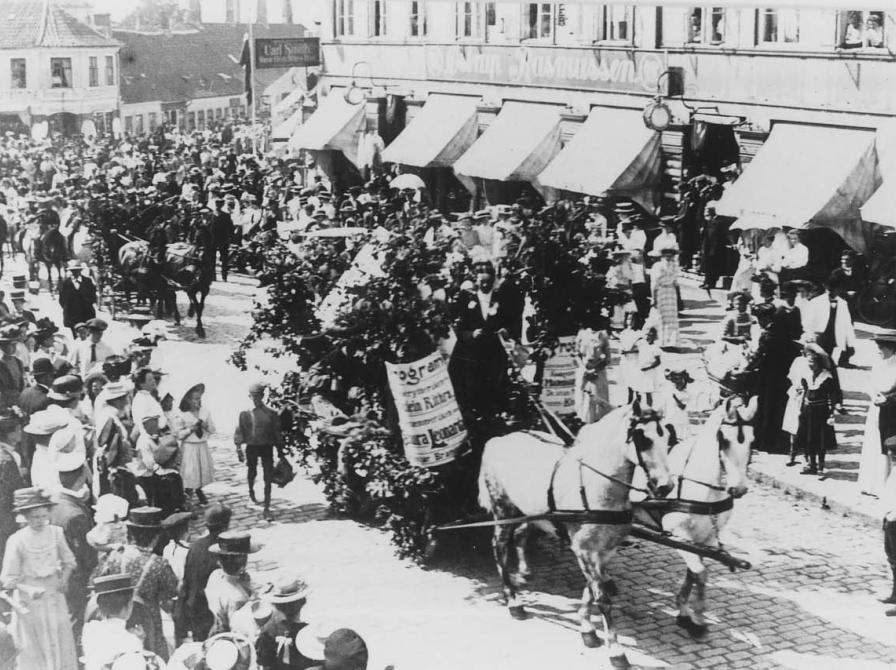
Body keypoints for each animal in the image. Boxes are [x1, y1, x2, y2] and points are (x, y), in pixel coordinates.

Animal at [476, 402, 672, 668]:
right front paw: (616, 651)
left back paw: (524, 572)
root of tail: (498, 440)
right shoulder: (585, 551)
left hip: (528, 513)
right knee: (499, 547)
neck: (594, 486)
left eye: (667, 437)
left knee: (521, 535)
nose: (666, 486)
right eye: (643, 439)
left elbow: (591, 590)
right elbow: (602, 598)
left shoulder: (603, 551)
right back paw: (513, 601)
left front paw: (587, 628)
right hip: (502, 510)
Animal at [660, 396, 752, 636]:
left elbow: (694, 573)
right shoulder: (677, 533)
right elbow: (701, 573)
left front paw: (685, 611)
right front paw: (699, 615)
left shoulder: (705, 537)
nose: (739, 489)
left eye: (753, 440)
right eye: (724, 439)